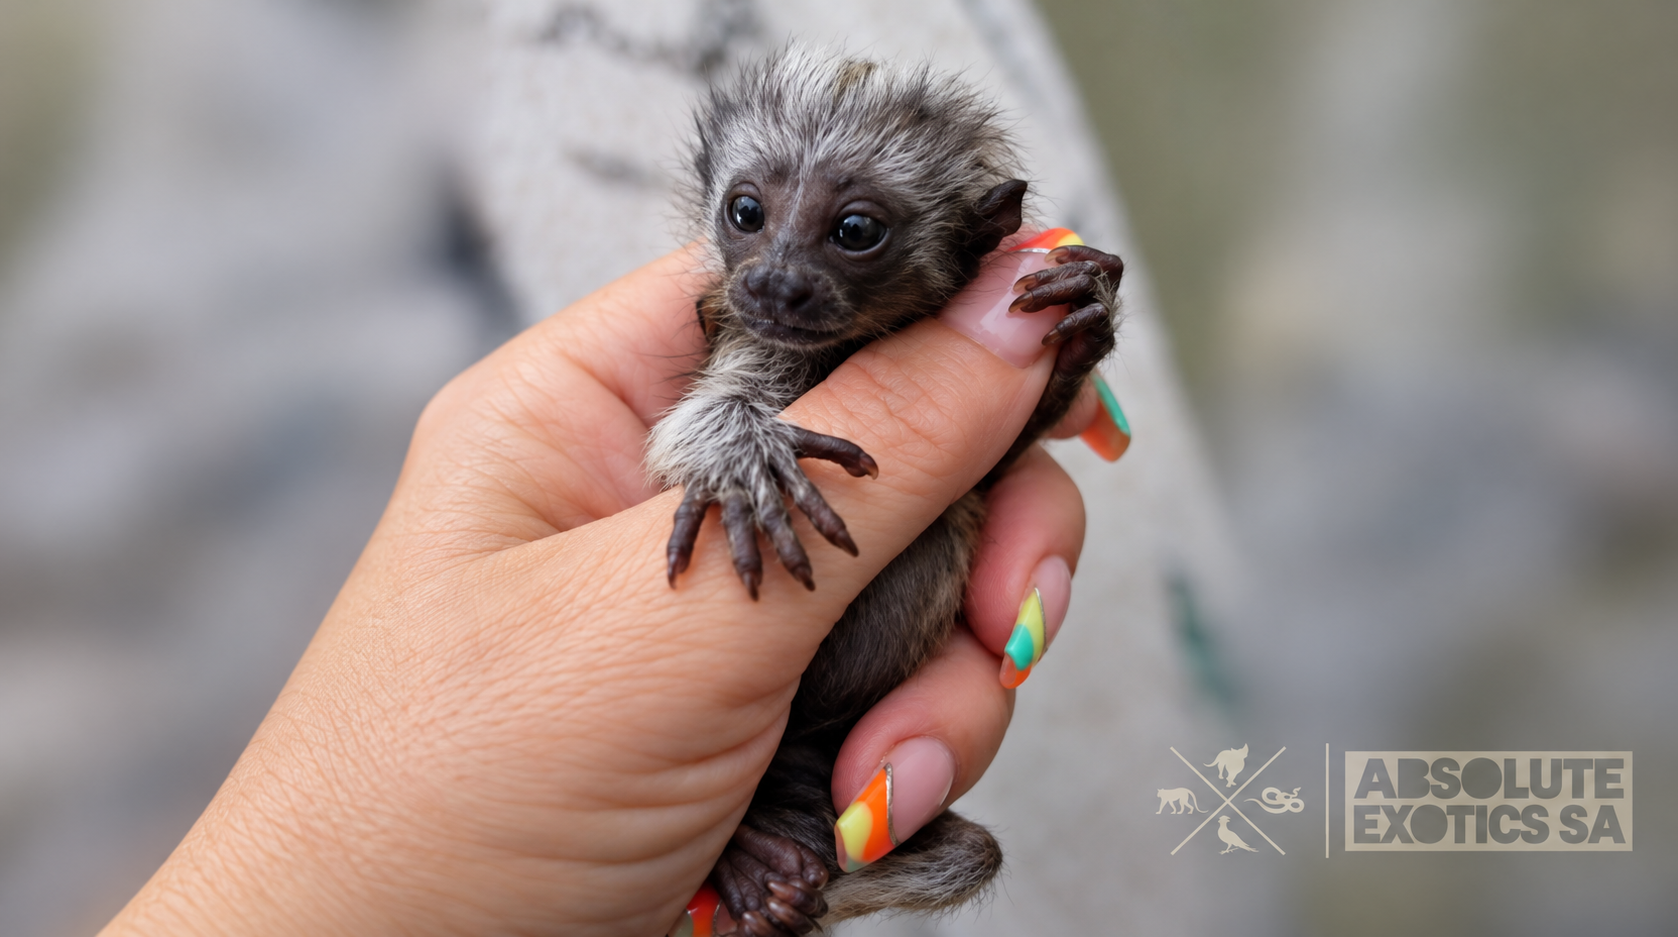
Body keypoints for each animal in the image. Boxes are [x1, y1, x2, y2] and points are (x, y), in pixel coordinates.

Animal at [644, 48, 1124, 936]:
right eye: (745, 211)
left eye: (855, 231)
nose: (775, 282)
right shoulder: (746, 339)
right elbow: (681, 432)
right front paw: (743, 458)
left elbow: (996, 469)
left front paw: (1088, 312)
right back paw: (746, 857)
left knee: (965, 852)